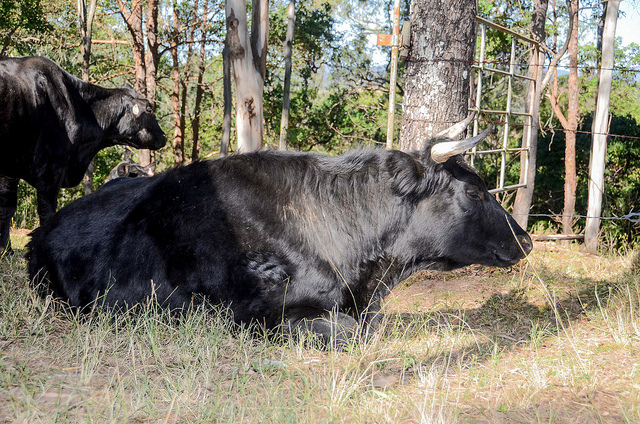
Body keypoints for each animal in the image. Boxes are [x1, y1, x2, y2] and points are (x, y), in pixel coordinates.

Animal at [0, 56, 165, 255]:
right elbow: (46, 212)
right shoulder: (51, 169)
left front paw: (5, 250)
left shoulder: (10, 168)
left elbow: (7, 207)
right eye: (148, 108)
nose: (164, 136)